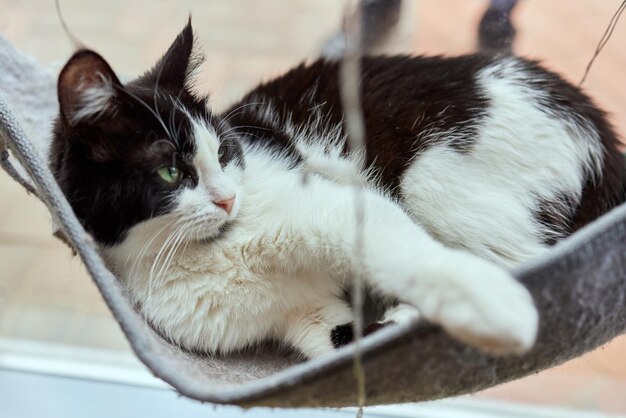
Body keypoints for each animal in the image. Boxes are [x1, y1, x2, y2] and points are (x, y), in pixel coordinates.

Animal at [50, 20, 624, 360]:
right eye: (171, 171)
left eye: (226, 150)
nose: (228, 199)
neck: (201, 255)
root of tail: (601, 133)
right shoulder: (304, 317)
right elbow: (343, 339)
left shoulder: (329, 202)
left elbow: (406, 253)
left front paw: (493, 309)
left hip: (437, 177)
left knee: (526, 256)